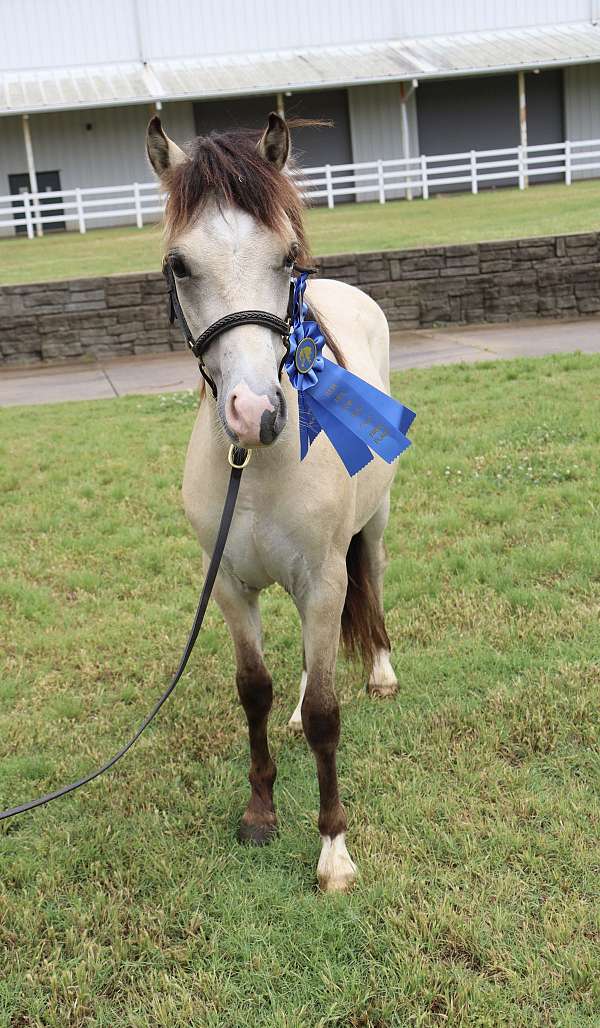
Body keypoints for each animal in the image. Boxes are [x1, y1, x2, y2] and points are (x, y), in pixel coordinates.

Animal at [147, 112, 400, 892]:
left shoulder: (323, 576)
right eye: (179, 265)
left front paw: (333, 850)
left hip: (371, 529)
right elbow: (253, 688)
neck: (255, 469)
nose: (254, 412)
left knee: (373, 580)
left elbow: (326, 713)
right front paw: (260, 809)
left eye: (288, 257)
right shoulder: (230, 584)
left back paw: (382, 671)